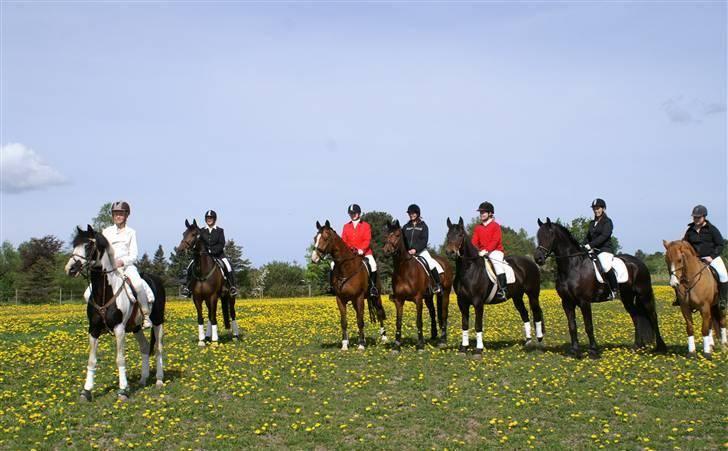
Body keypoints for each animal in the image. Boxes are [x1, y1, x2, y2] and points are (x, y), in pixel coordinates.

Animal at [66, 226, 166, 402]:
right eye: (74, 245)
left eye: (88, 245)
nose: (70, 269)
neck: (105, 292)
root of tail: (157, 280)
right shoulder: (93, 330)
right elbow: (91, 360)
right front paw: (86, 391)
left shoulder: (119, 329)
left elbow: (120, 359)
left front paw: (123, 390)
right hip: (136, 328)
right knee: (145, 347)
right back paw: (143, 379)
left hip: (157, 322)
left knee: (158, 348)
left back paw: (159, 380)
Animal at [312, 221, 390, 352]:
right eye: (315, 238)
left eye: (325, 238)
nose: (314, 258)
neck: (346, 268)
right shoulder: (340, 299)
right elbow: (344, 321)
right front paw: (344, 344)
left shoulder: (359, 298)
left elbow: (360, 321)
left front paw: (361, 345)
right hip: (354, 301)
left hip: (376, 296)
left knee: (379, 313)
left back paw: (383, 337)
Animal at [384, 221, 452, 352]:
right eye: (386, 234)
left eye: (397, 235)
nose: (387, 250)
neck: (404, 270)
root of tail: (445, 262)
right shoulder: (399, 300)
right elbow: (398, 322)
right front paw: (397, 345)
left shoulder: (418, 299)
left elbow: (419, 321)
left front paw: (420, 345)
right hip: (429, 297)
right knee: (433, 312)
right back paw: (434, 335)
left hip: (445, 293)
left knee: (444, 314)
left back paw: (442, 340)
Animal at [444, 218, 544, 356]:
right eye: (448, 235)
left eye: (460, 235)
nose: (450, 253)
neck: (468, 270)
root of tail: (532, 262)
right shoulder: (462, 303)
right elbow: (464, 325)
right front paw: (463, 348)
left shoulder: (478, 303)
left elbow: (478, 325)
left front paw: (478, 350)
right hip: (517, 297)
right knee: (524, 314)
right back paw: (528, 341)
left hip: (533, 294)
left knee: (537, 313)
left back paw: (539, 340)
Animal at [532, 217, 664, 358]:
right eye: (538, 236)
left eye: (549, 236)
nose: (538, 258)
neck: (573, 266)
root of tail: (639, 263)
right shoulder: (567, 302)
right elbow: (572, 326)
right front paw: (575, 351)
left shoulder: (584, 302)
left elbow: (588, 326)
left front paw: (594, 351)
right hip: (627, 298)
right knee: (636, 317)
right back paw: (637, 346)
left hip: (644, 294)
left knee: (653, 316)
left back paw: (661, 347)